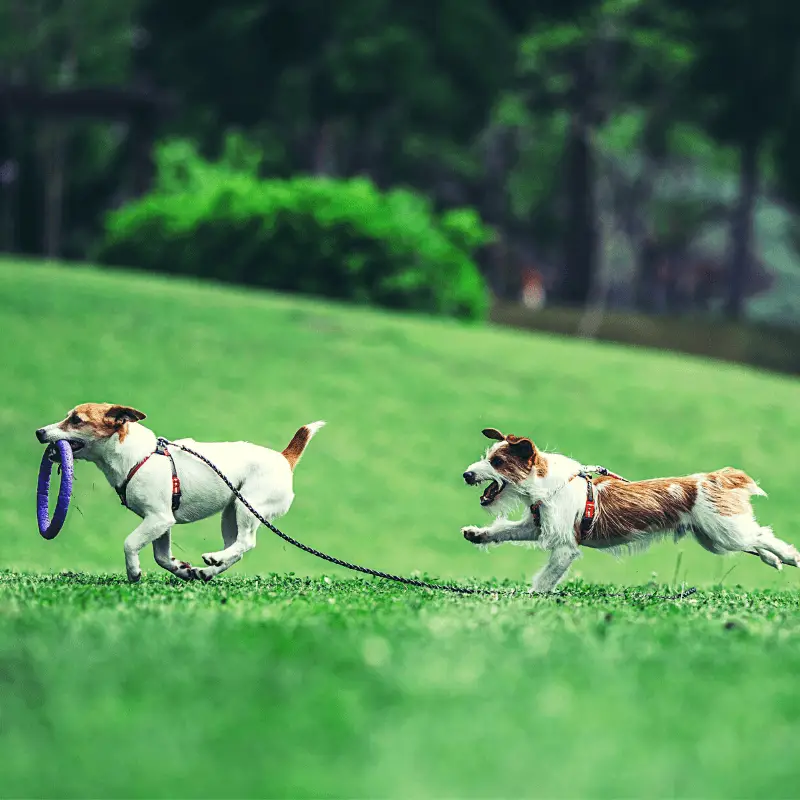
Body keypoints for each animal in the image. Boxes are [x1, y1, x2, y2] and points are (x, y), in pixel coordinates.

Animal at [34, 406, 322, 580]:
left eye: (76, 420)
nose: (39, 432)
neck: (136, 456)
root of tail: (284, 459)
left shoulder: (158, 518)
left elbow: (130, 543)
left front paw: (134, 572)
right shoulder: (161, 522)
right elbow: (161, 556)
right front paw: (181, 569)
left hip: (248, 506)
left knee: (246, 542)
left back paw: (214, 558)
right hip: (230, 512)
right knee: (237, 546)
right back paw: (209, 570)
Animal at [460, 428, 796, 592]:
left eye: (497, 462)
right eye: (488, 457)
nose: (466, 474)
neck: (548, 487)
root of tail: (715, 478)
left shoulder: (565, 547)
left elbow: (545, 580)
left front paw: (531, 601)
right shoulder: (536, 525)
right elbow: (504, 530)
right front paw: (477, 533)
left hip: (724, 534)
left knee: (762, 536)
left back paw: (791, 557)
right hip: (713, 538)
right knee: (757, 540)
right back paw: (774, 560)